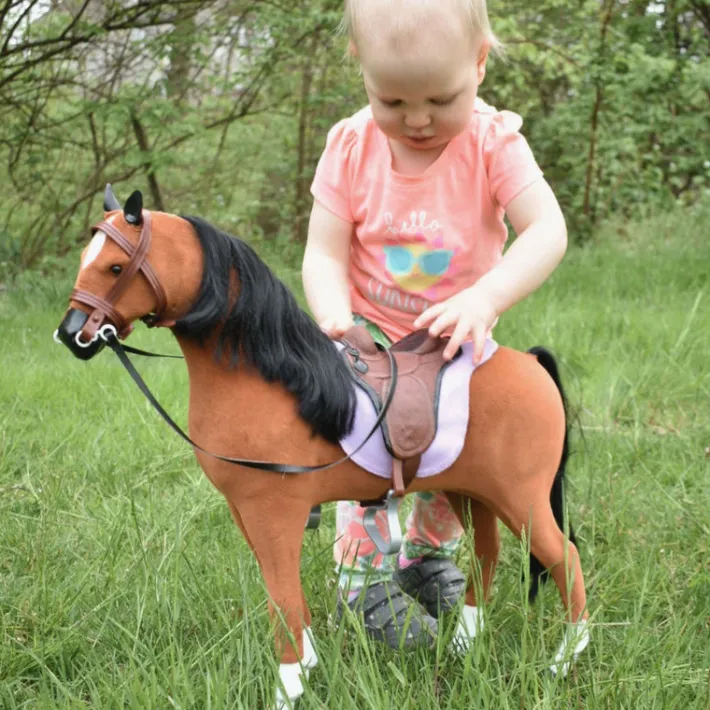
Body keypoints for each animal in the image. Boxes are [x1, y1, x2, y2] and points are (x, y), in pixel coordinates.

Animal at [55, 186, 590, 708]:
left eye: (115, 267)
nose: (71, 333)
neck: (276, 386)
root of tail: (531, 364)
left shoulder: (275, 514)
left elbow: (283, 601)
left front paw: (288, 688)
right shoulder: (246, 513)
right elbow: (285, 596)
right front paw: (309, 665)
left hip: (521, 498)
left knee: (563, 558)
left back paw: (564, 662)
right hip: (473, 492)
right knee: (486, 556)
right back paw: (463, 644)